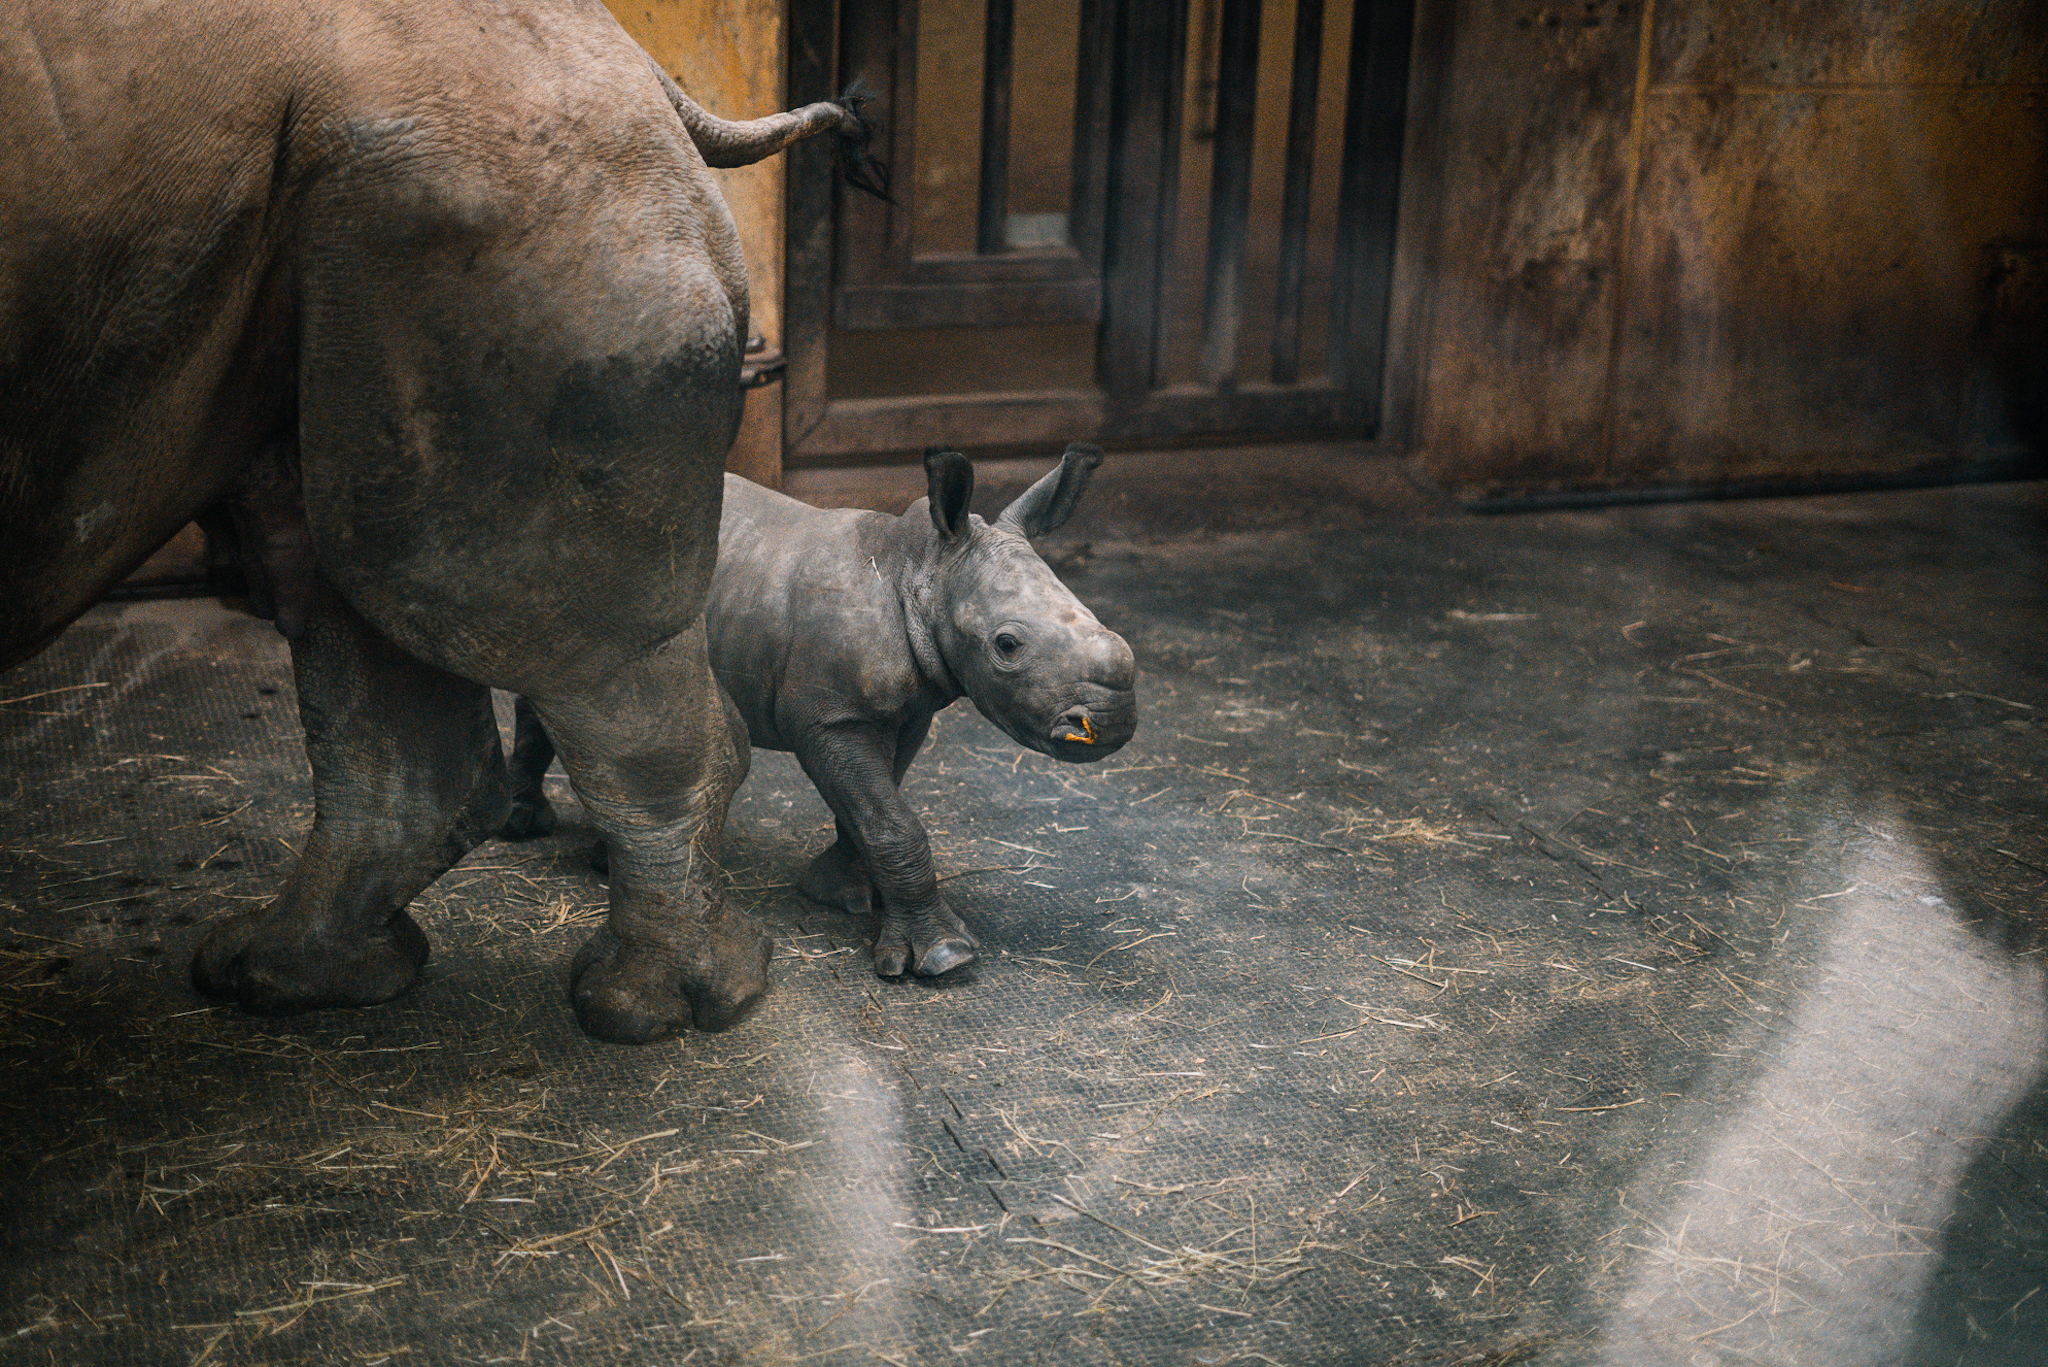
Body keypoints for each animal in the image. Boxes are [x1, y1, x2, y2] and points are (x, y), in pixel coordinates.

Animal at [1, 0, 879, 1043]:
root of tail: (643, 67)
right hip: (397, 198)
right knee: (353, 574)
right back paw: (286, 978)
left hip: (517, 191)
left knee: (498, 611)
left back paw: (651, 1013)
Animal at [504, 445, 1139, 978]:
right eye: (1007, 646)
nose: (1112, 722)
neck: (921, 573)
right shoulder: (830, 718)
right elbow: (890, 821)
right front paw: (942, 956)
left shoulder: (902, 712)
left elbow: (872, 807)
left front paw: (840, 893)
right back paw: (528, 829)